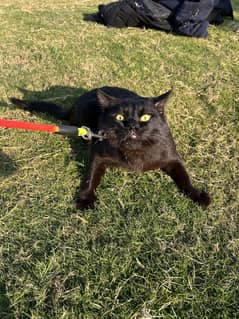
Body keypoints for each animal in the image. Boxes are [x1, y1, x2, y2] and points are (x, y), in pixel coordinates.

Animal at [9, 87, 211, 210]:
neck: (136, 150)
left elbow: (185, 178)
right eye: (120, 117)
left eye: (145, 117)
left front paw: (198, 195)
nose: (132, 126)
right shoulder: (98, 155)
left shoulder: (172, 159)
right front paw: (85, 199)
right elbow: (90, 178)